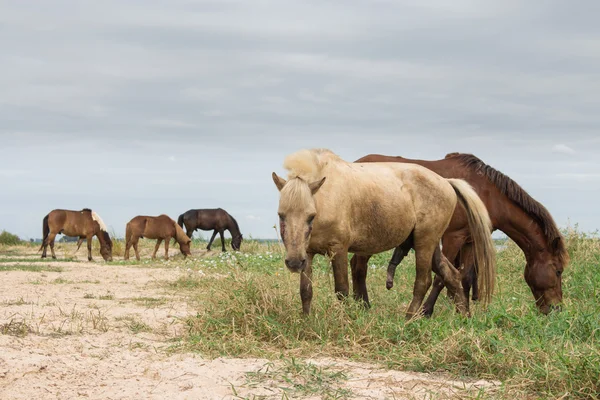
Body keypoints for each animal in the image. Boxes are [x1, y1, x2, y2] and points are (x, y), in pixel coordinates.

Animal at [272, 148, 496, 320]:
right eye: (281, 215)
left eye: (311, 216)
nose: (293, 263)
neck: (325, 198)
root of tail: (446, 182)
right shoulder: (307, 253)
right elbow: (306, 291)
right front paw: (306, 321)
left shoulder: (339, 250)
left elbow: (342, 290)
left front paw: (346, 320)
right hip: (429, 244)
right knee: (452, 275)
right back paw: (464, 316)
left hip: (425, 242)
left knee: (423, 281)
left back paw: (409, 318)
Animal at [356, 154, 572, 316]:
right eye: (558, 271)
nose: (556, 309)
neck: (486, 194)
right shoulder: (453, 237)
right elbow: (441, 277)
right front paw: (426, 311)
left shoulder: (470, 240)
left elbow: (465, 276)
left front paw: (463, 310)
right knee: (360, 267)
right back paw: (363, 305)